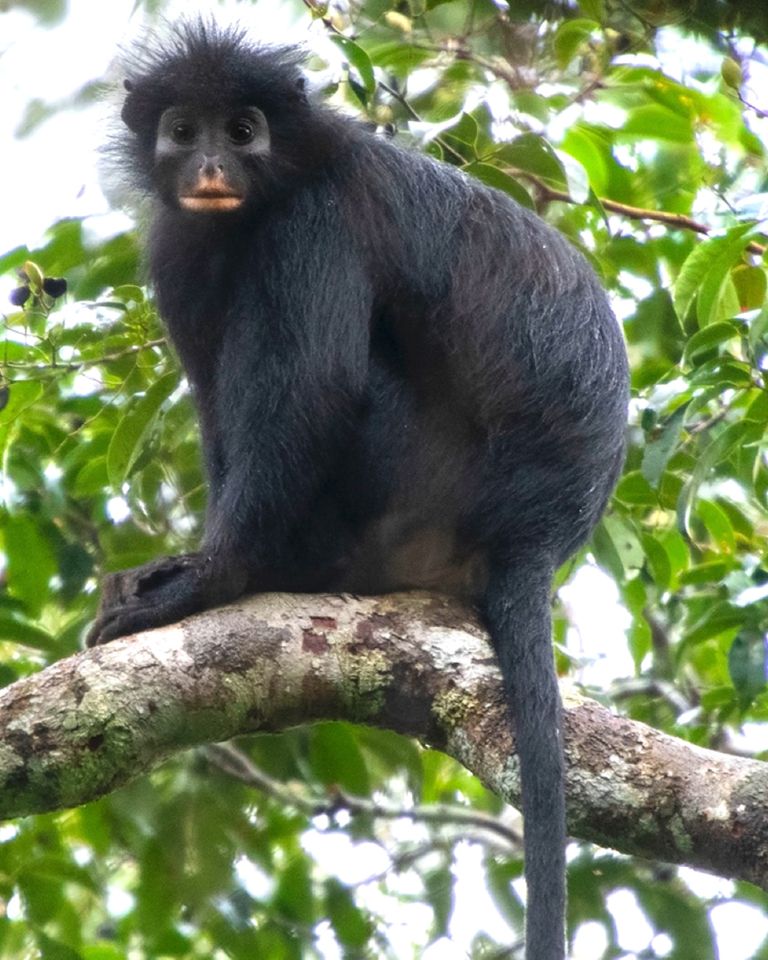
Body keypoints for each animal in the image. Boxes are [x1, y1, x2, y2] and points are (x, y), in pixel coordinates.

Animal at [87, 21, 629, 960]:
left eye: (243, 131)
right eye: (183, 131)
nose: (211, 168)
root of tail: (538, 531)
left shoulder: (314, 221)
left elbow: (316, 388)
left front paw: (215, 577)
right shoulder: (180, 249)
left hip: (415, 481)